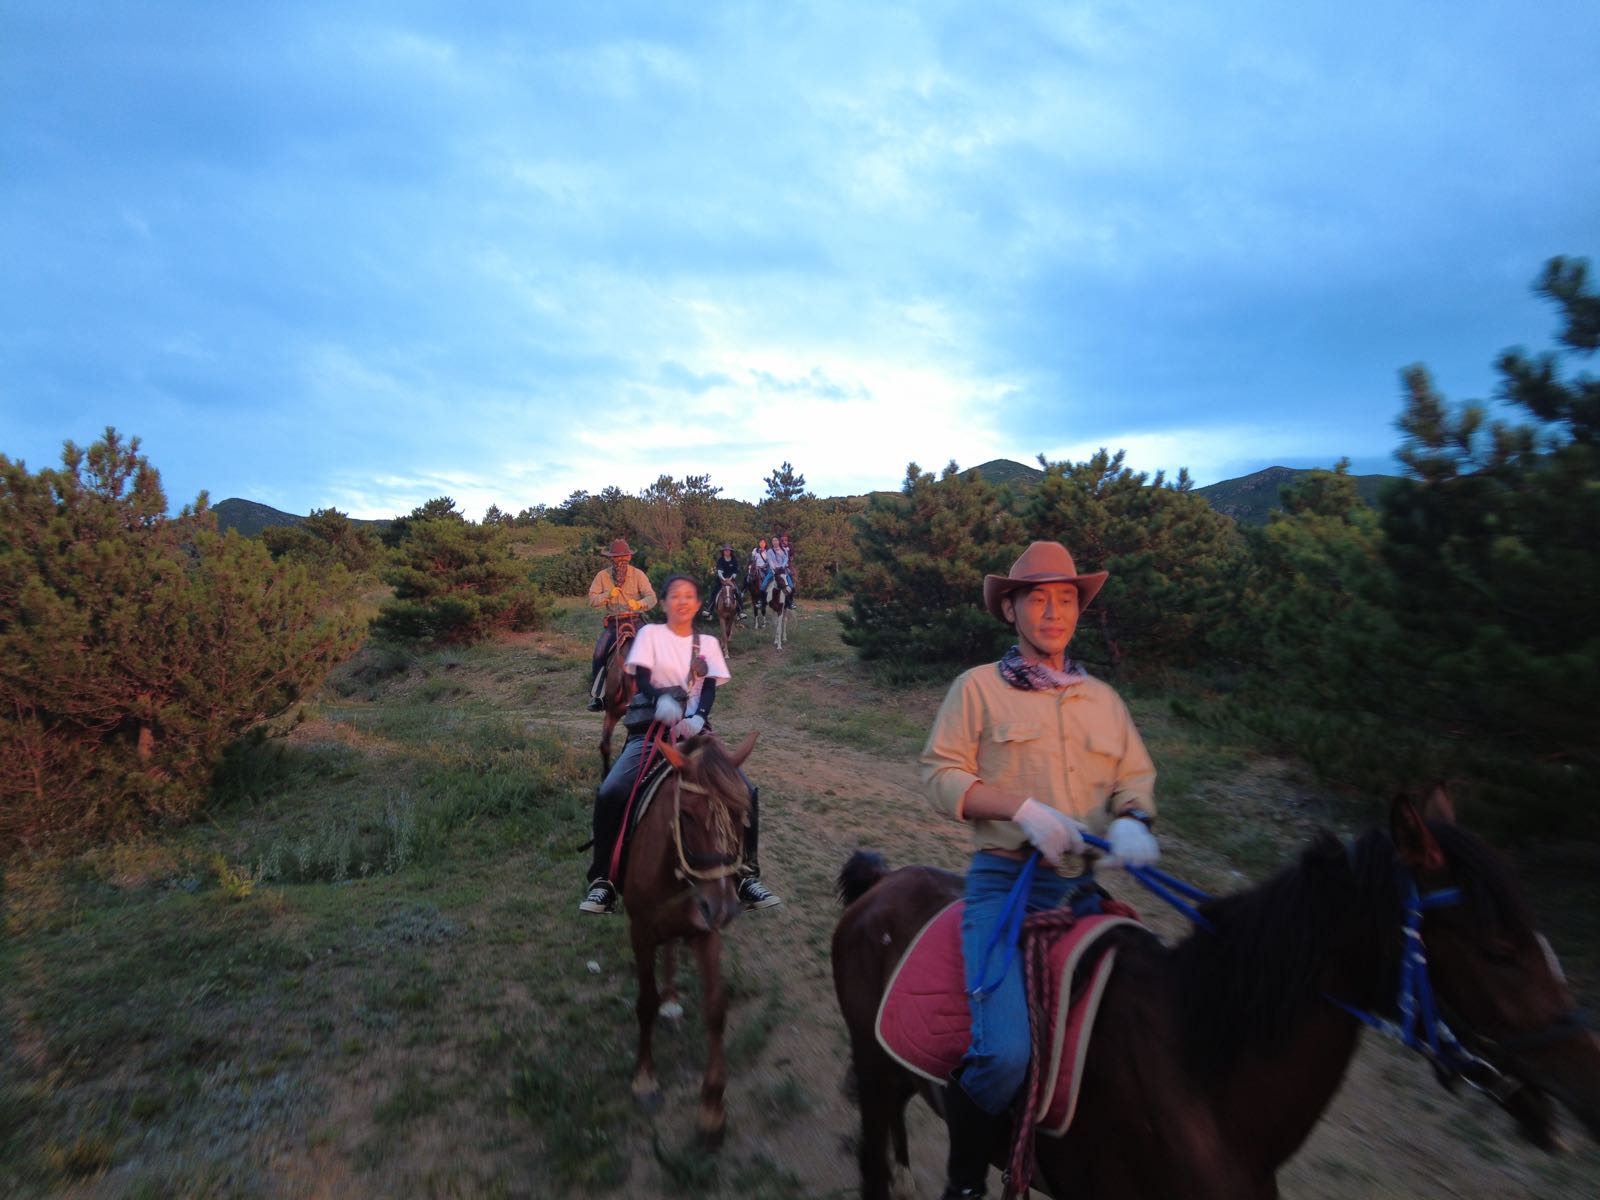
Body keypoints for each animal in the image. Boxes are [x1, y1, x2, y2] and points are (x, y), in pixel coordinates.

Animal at [617, 723, 755, 1145]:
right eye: (687, 815)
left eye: (742, 814)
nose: (723, 907)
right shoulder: (641, 931)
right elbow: (644, 1003)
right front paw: (645, 1078)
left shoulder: (706, 932)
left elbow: (715, 1008)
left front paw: (712, 1105)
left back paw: (673, 998)